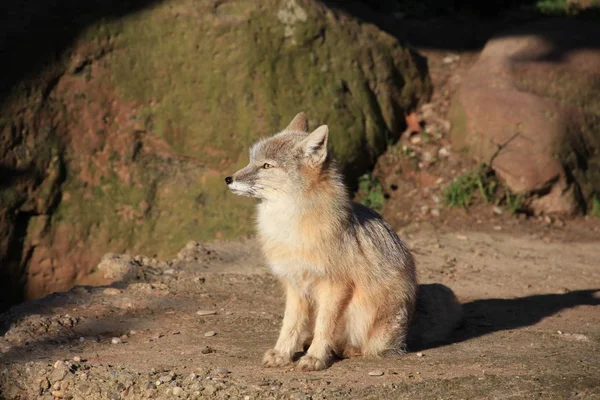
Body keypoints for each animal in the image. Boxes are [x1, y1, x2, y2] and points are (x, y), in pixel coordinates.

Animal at [226, 112, 464, 372]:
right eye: (252, 161)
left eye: (267, 165)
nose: (228, 178)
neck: (291, 228)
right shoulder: (295, 285)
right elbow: (289, 325)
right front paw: (282, 353)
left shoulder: (335, 285)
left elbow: (324, 326)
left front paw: (316, 358)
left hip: (365, 314)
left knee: (366, 348)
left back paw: (343, 350)